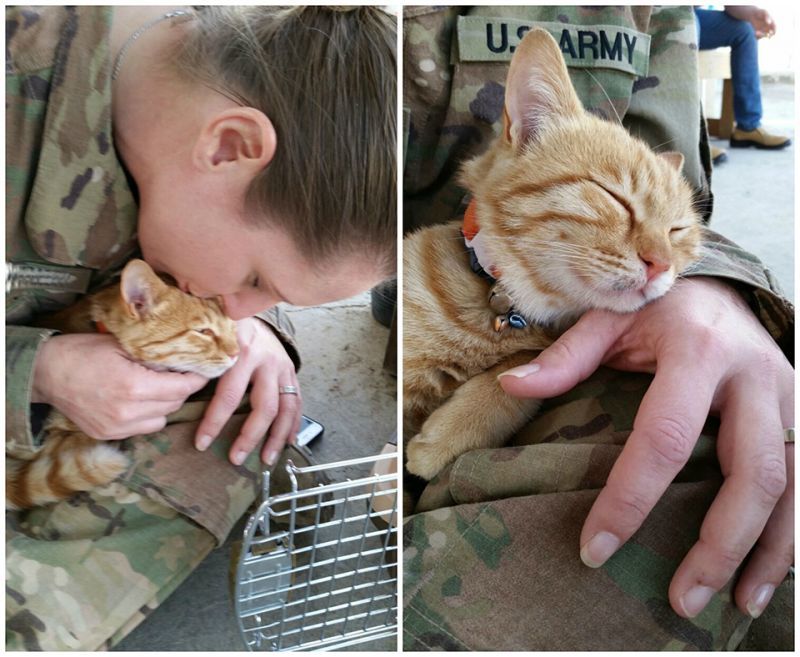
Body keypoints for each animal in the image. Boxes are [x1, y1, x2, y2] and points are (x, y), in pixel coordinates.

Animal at [406, 28, 700, 480]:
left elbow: (517, 379)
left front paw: (455, 429)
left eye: (677, 230)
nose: (661, 264)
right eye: (614, 197)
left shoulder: (533, 353)